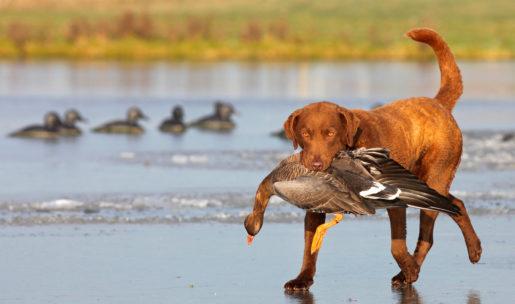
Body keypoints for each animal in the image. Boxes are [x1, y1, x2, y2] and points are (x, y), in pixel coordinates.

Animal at [246, 29, 484, 290]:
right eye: (305, 133)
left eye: (330, 133)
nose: (315, 165)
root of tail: (438, 103)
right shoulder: (317, 206)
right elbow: (310, 246)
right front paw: (302, 279)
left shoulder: (395, 201)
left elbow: (397, 245)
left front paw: (409, 270)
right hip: (427, 183)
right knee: (456, 204)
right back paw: (472, 248)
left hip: (435, 177)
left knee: (428, 232)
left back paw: (414, 269)